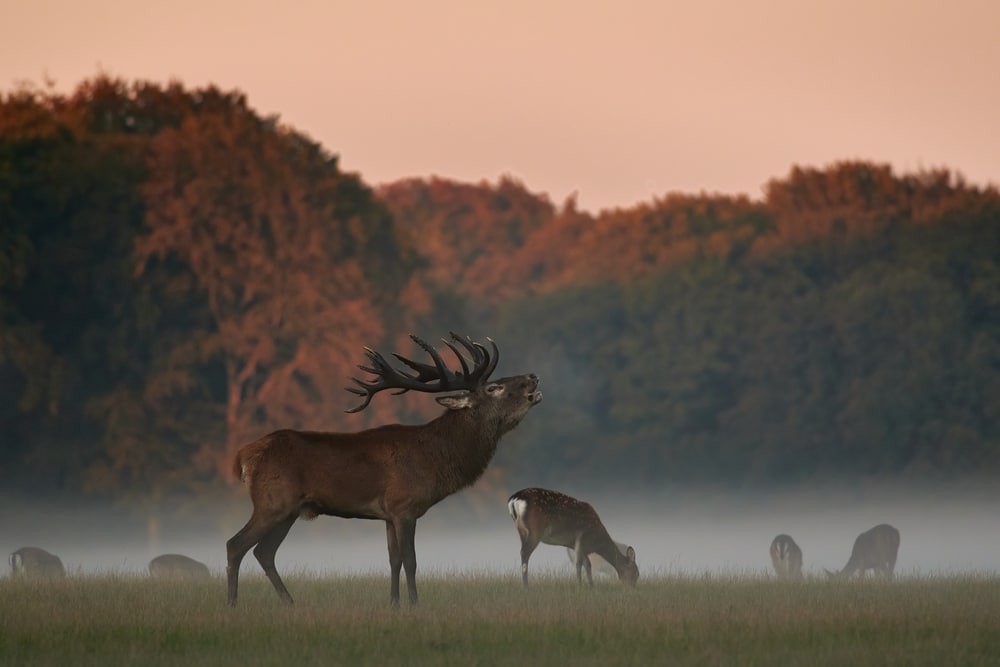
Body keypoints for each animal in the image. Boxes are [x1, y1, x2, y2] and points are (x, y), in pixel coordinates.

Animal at [226, 332, 541, 607]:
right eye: (494, 388)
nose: (532, 377)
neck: (434, 458)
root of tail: (243, 456)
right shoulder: (404, 506)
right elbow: (411, 561)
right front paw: (415, 606)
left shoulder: (388, 514)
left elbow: (394, 561)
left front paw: (394, 605)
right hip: (272, 501)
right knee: (236, 544)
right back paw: (232, 604)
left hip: (290, 510)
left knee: (264, 551)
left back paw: (290, 604)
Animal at [507, 487, 638, 587]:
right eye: (636, 573)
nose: (632, 588)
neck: (596, 541)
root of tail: (514, 499)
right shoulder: (582, 539)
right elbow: (579, 564)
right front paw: (580, 586)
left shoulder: (577, 545)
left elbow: (588, 565)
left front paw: (591, 586)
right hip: (535, 530)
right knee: (525, 553)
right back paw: (526, 586)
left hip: (521, 530)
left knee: (522, 551)